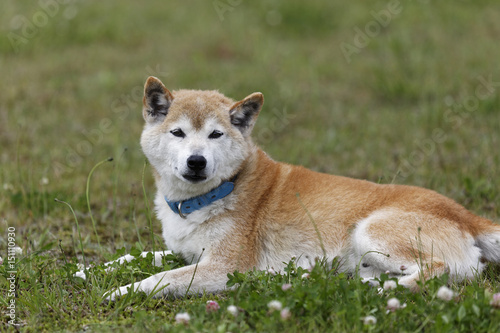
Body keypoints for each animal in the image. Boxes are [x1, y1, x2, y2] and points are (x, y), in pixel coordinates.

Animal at [105, 77, 500, 298]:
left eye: (216, 134)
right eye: (178, 132)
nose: (197, 161)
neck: (211, 196)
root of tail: (466, 215)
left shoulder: (223, 267)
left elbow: (160, 279)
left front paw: (122, 291)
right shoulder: (186, 252)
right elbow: (140, 257)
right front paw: (98, 269)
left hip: (370, 231)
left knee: (437, 271)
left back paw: (385, 291)